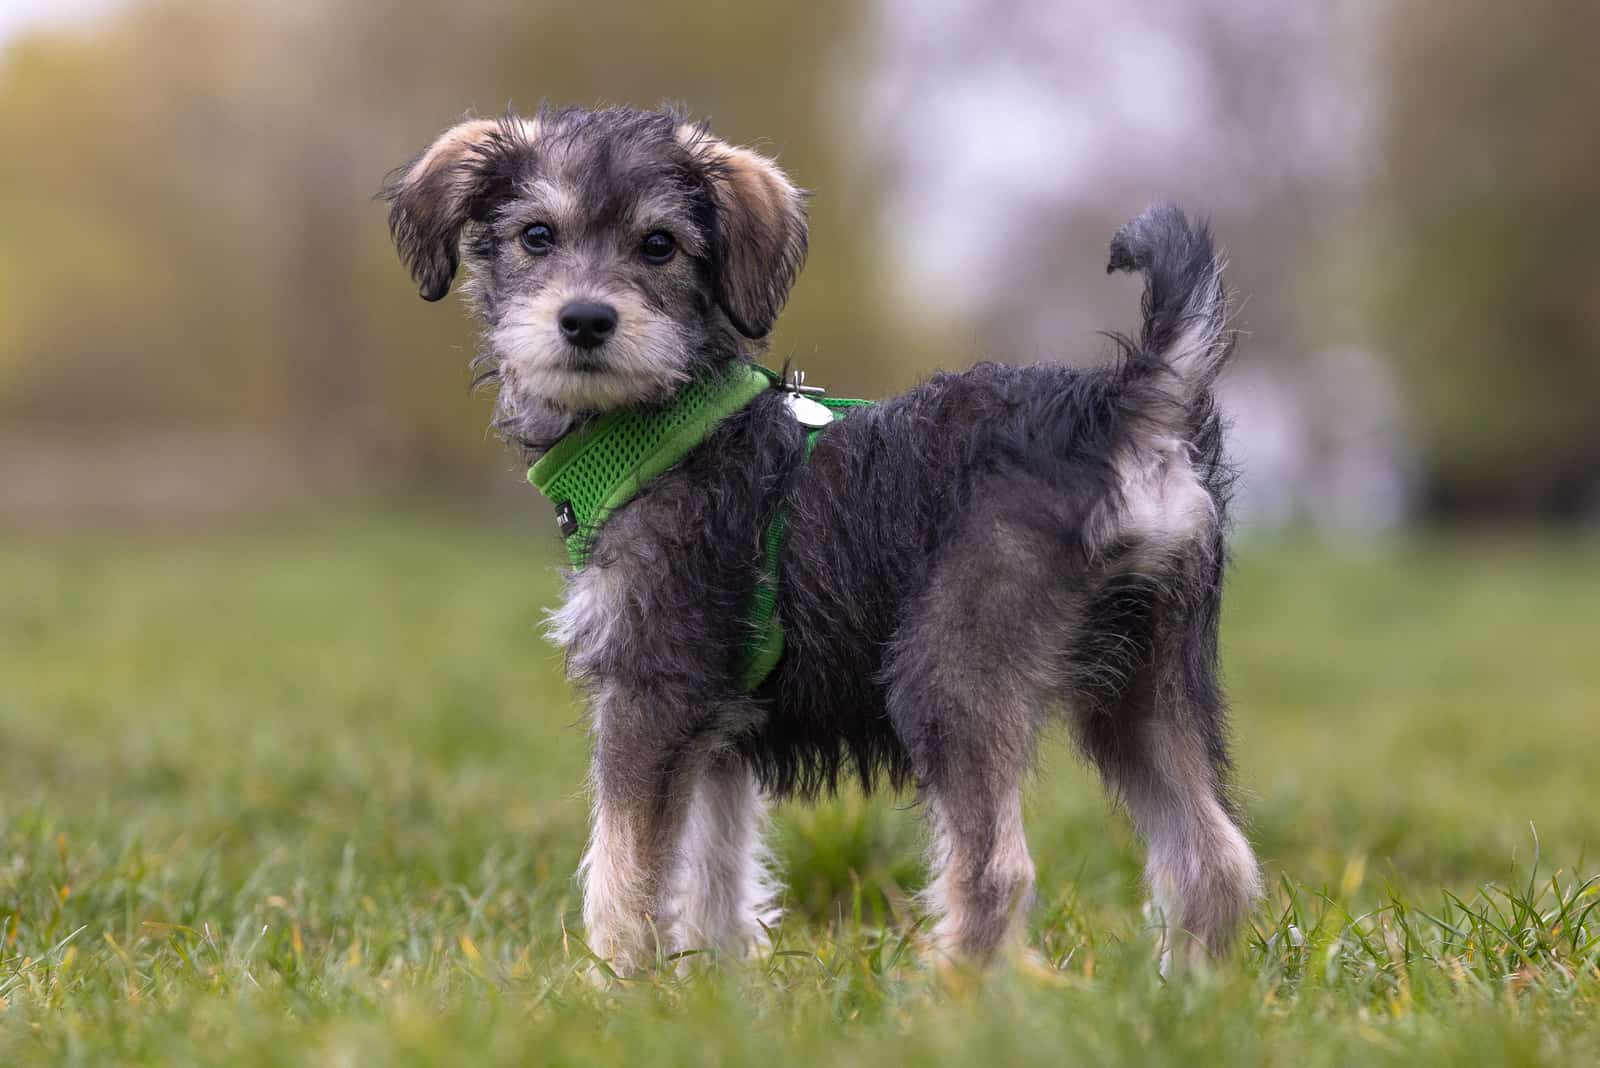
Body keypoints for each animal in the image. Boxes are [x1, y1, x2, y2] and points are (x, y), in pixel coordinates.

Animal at [380, 103, 1254, 972]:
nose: (586, 320)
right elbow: (715, 868)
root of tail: (1127, 407)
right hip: (1147, 684)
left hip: (952, 675)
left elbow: (624, 871)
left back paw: (952, 993)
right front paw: (713, 979)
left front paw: (612, 983)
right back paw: (1186, 990)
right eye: (537, 235)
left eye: (658, 245)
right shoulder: (720, 728)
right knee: (1214, 859)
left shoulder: (650, 690)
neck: (670, 424)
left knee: (997, 870)